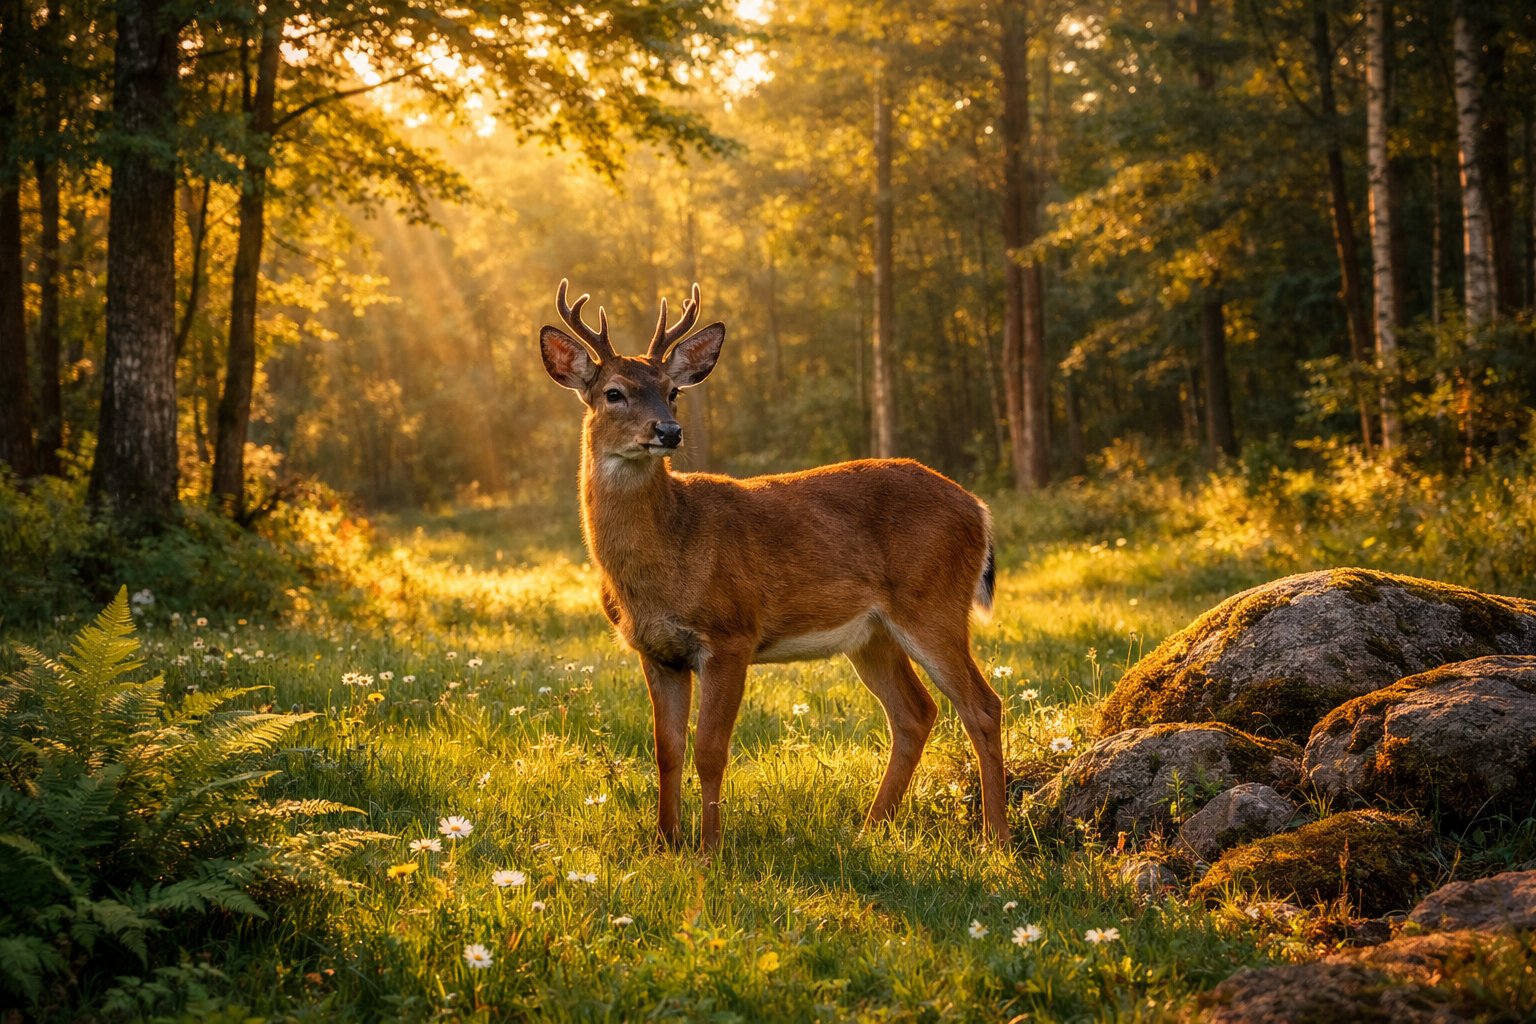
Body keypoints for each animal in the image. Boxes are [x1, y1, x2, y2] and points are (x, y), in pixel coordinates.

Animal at [539, 280, 1009, 850]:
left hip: (933, 602)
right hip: (873, 634)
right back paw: (869, 829)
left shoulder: (731, 633)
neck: (667, 554)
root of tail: (979, 509)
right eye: (614, 392)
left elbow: (710, 750)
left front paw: (709, 850)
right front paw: (665, 843)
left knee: (982, 706)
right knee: (916, 713)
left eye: (672, 392)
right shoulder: (656, 651)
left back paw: (996, 839)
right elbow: (666, 751)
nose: (668, 431)